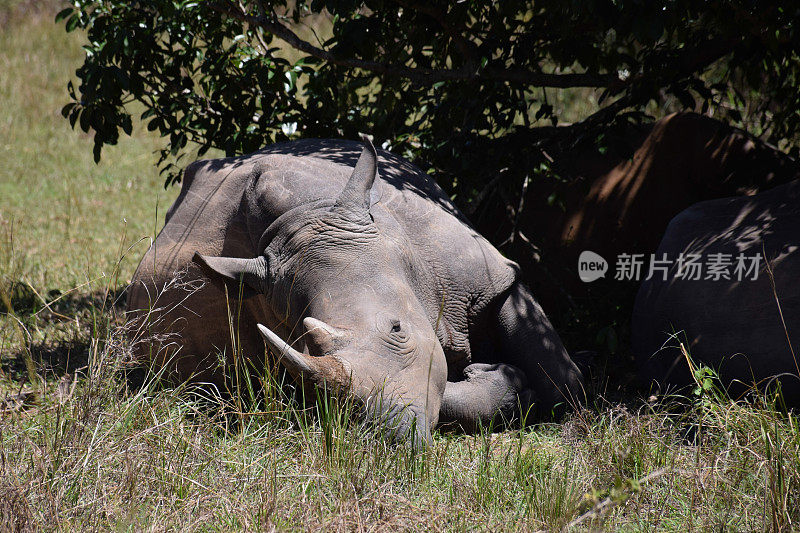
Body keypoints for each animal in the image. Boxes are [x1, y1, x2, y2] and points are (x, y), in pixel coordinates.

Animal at [128, 137, 584, 444]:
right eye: (306, 343)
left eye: (398, 329)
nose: (392, 436)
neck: (310, 211)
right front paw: (506, 385)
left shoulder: (488, 275)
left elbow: (563, 382)